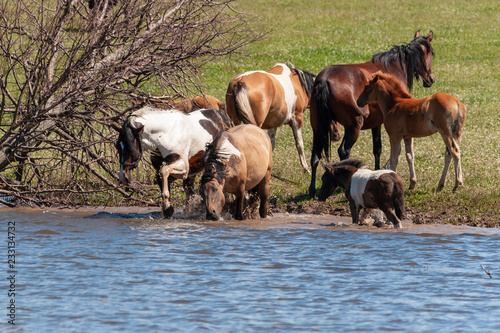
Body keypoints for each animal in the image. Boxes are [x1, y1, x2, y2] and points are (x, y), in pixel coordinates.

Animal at [306, 29, 436, 197]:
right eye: (432, 53)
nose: (431, 79)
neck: (394, 67)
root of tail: (324, 81)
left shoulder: (377, 123)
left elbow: (377, 149)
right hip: (353, 127)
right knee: (344, 151)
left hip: (317, 127)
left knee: (315, 156)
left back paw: (312, 189)